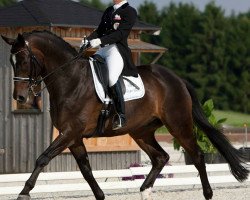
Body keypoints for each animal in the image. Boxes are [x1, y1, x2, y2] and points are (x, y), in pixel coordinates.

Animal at [1, 30, 248, 199]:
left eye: (24, 60)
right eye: (11, 62)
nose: (20, 98)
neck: (70, 79)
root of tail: (176, 79)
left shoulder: (70, 132)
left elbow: (43, 158)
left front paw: (24, 192)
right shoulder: (73, 137)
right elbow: (86, 170)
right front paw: (100, 195)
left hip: (179, 124)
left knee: (197, 156)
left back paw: (207, 194)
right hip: (141, 131)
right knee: (161, 157)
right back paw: (144, 190)